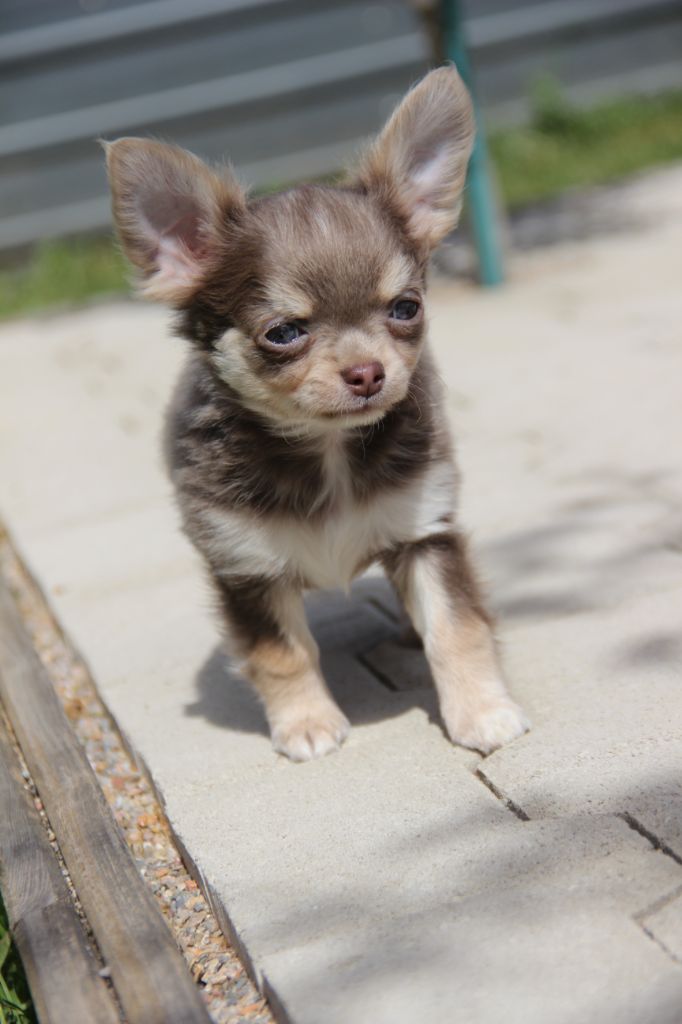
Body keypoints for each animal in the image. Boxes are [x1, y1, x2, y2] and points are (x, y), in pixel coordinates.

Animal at [105, 65, 529, 761]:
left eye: (406, 308)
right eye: (283, 333)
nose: (367, 372)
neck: (327, 451)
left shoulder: (424, 532)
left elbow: (455, 626)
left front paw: (482, 712)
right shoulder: (245, 565)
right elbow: (282, 653)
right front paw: (305, 723)